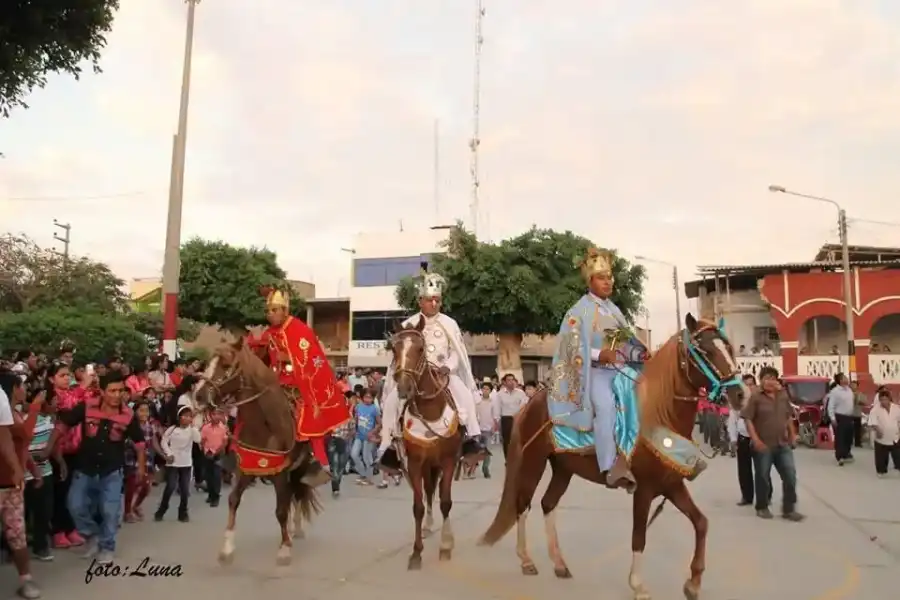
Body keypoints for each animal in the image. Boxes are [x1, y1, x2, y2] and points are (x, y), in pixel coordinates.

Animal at [195, 338, 322, 568]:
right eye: (208, 363)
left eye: (226, 365)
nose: (198, 396)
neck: (264, 427)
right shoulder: (247, 468)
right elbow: (233, 500)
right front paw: (226, 548)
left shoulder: (280, 473)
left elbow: (280, 510)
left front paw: (284, 549)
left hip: (299, 468)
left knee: (298, 493)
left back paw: (296, 529)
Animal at [386, 316, 472, 568]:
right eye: (394, 349)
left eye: (420, 349)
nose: (404, 388)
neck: (430, 409)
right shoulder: (415, 462)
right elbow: (418, 506)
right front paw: (416, 552)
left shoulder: (448, 461)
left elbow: (446, 502)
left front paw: (446, 546)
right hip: (426, 465)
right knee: (428, 490)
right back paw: (427, 526)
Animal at [482, 314, 740, 600]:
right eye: (705, 351)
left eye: (729, 348)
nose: (739, 394)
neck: (660, 412)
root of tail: (531, 403)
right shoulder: (644, 489)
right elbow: (639, 536)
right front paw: (638, 585)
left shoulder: (671, 485)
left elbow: (701, 523)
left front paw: (693, 583)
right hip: (533, 461)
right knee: (523, 504)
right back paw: (527, 561)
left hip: (563, 468)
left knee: (548, 504)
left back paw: (559, 564)